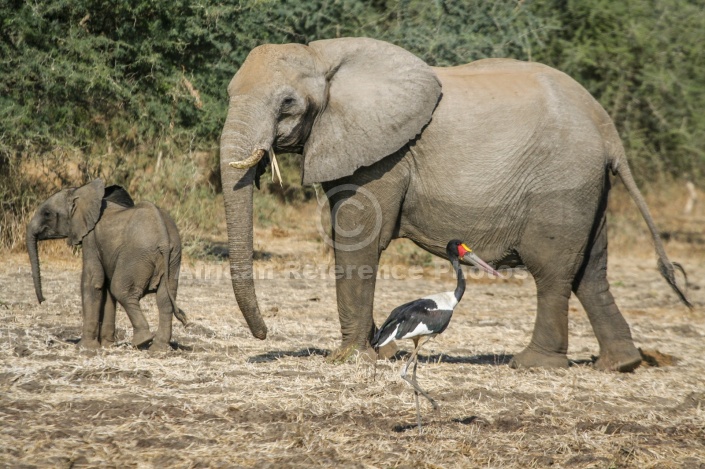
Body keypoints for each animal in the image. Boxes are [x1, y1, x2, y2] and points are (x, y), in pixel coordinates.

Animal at [26, 177, 188, 350]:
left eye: (47, 213)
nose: (43, 300)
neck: (83, 192)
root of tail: (163, 236)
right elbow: (106, 289)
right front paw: (107, 346)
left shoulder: (90, 238)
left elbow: (93, 281)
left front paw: (85, 347)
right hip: (173, 256)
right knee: (164, 299)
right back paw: (158, 349)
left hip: (136, 255)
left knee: (122, 290)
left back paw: (142, 341)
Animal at [220, 36, 688, 372]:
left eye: (287, 103)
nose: (264, 334)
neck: (321, 55)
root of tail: (609, 130)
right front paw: (380, 350)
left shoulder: (385, 154)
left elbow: (358, 240)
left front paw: (352, 358)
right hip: (589, 187)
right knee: (591, 271)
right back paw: (620, 364)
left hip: (562, 184)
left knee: (554, 271)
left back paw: (533, 364)